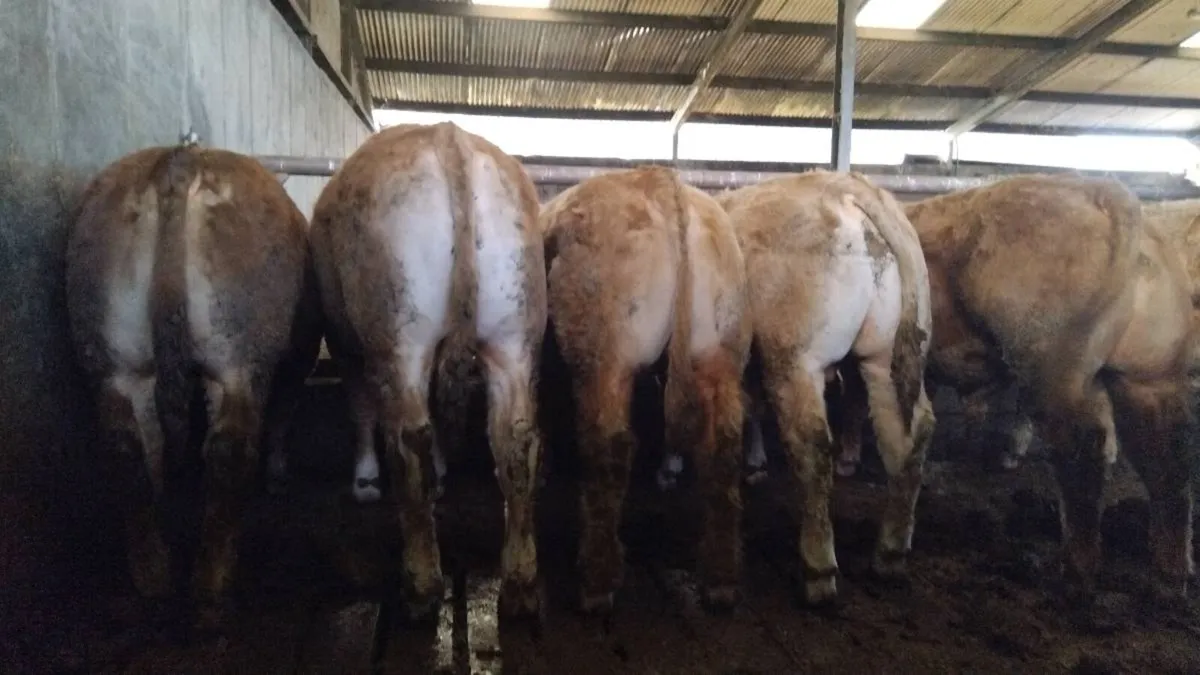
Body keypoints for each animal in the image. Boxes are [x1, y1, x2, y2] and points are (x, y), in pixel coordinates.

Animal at [65, 144, 323, 631]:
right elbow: (283, 414)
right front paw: (278, 475)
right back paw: (211, 585)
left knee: (130, 448)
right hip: (237, 355)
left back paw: (153, 572)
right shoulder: (296, 359)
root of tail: (178, 159)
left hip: (109, 355)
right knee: (227, 450)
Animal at [308, 122, 547, 621]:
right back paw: (520, 583)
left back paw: (421, 585)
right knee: (516, 442)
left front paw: (365, 480)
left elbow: (361, 408)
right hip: (514, 331)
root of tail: (448, 138)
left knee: (408, 440)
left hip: (401, 334)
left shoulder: (344, 342)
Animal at [540, 166, 752, 613]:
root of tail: (658, 179)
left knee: (609, 448)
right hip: (721, 350)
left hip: (605, 358)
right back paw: (720, 580)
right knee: (722, 449)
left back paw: (597, 582)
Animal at [710, 171, 936, 607]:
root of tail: (846, 187)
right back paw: (890, 553)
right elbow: (752, 407)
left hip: (796, 361)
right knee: (909, 437)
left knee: (813, 448)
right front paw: (755, 462)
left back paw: (818, 571)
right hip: (885, 358)